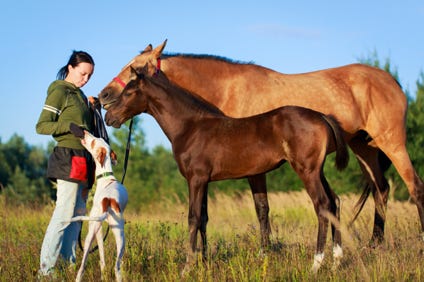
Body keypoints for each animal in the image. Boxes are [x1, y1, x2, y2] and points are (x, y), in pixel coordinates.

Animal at [67, 128, 127, 282]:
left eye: (94, 141)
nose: (85, 131)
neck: (106, 177)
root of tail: (107, 200)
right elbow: (103, 261)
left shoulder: (98, 231)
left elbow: (101, 257)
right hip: (119, 236)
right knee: (117, 266)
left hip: (91, 232)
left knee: (83, 266)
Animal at [98, 40, 424, 247]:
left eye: (134, 67)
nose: (103, 97)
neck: (227, 91)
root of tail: (392, 81)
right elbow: (209, 215)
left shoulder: (254, 170)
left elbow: (261, 209)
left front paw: (265, 251)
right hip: (364, 148)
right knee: (381, 190)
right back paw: (375, 244)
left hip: (392, 143)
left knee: (414, 187)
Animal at [103, 66, 348, 274]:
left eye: (129, 92)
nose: (109, 117)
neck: (190, 127)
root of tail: (322, 116)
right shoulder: (204, 181)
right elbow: (203, 218)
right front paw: (203, 262)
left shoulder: (195, 179)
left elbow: (193, 218)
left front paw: (187, 267)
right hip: (318, 171)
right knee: (334, 202)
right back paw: (336, 262)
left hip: (306, 170)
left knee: (322, 205)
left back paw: (316, 264)